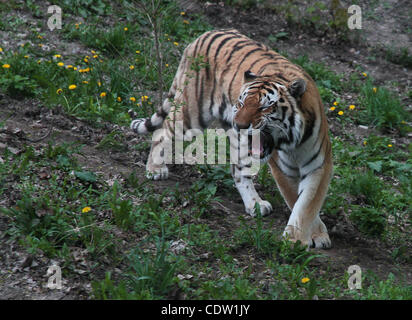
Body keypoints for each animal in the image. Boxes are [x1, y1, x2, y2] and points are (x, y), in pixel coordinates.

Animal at [130, 28, 334, 249]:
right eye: (242, 103)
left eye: (264, 107)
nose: (240, 124)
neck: (292, 143)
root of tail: (202, 35)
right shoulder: (284, 170)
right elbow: (297, 201)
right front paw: (297, 241)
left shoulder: (318, 165)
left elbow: (307, 204)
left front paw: (315, 234)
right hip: (191, 114)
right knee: (162, 132)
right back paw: (155, 169)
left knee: (237, 169)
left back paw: (255, 204)